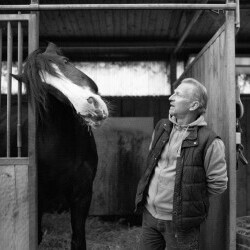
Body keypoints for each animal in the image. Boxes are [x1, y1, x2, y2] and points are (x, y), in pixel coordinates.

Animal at [0, 42, 108, 249]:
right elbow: (37, 237)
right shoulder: (38, 200)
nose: (92, 107)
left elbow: (78, 240)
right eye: (44, 87)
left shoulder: (82, 195)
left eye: (65, 61)